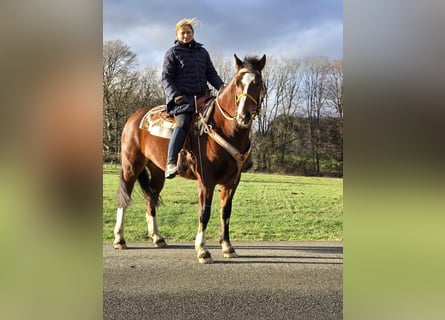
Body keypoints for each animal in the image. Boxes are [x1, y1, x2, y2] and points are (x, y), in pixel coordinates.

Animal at [112, 53, 266, 264]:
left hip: (157, 172)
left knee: (150, 199)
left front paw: (227, 246)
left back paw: (158, 238)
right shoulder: (206, 181)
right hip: (131, 166)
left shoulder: (232, 182)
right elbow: (204, 212)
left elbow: (225, 212)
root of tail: (134, 117)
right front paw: (202, 250)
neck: (223, 128)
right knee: (124, 199)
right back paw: (120, 239)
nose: (244, 116)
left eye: (257, 83)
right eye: (237, 83)